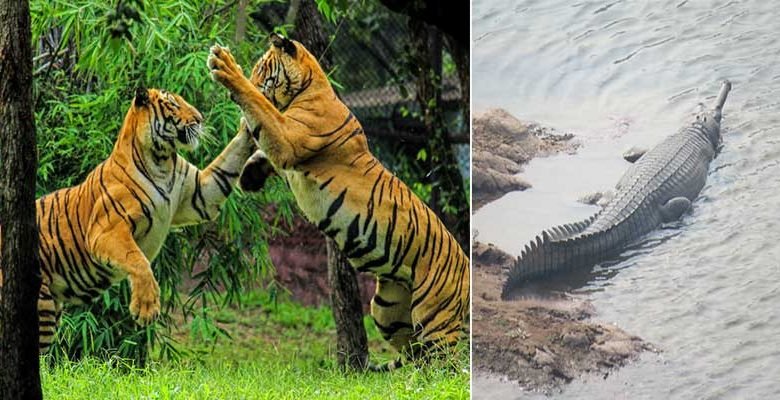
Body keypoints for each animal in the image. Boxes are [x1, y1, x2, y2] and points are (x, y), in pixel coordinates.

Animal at [0, 88, 254, 354]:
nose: (200, 118)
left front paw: (249, 122)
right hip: (41, 309)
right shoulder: (106, 230)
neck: (162, 161)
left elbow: (229, 160)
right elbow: (137, 259)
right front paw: (146, 308)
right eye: (174, 104)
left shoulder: (200, 195)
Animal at [207, 35, 470, 372]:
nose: (251, 78)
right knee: (416, 353)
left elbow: (260, 107)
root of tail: (467, 268)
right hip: (387, 310)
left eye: (261, 70)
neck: (308, 88)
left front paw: (226, 68)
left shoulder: (288, 137)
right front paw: (250, 176)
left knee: (445, 364)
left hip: (435, 316)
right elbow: (263, 147)